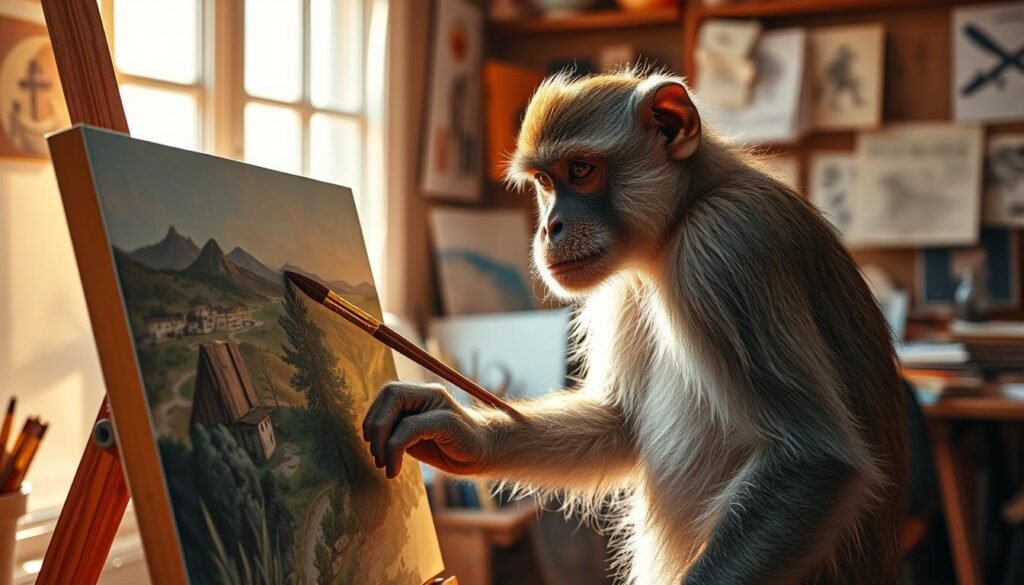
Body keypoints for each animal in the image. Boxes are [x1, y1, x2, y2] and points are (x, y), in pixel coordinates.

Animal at [362, 70, 906, 585]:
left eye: (580, 170)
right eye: (544, 183)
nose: (549, 227)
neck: (686, 211)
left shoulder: (723, 247)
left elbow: (814, 461)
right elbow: (620, 423)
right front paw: (460, 430)